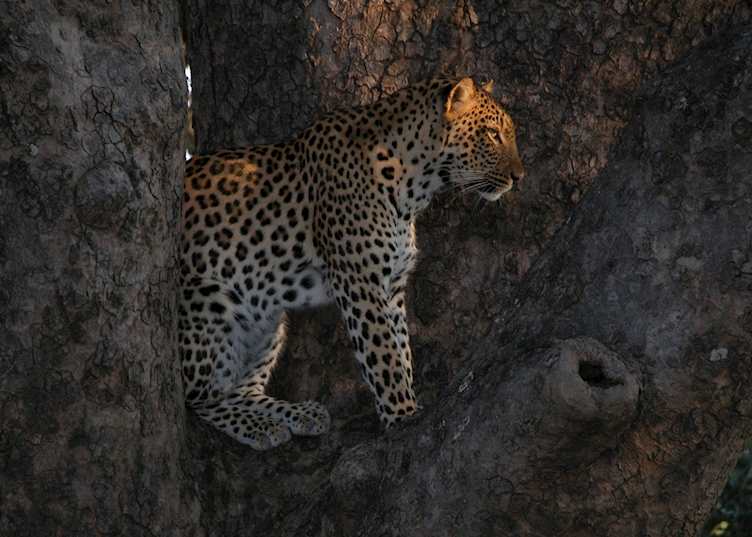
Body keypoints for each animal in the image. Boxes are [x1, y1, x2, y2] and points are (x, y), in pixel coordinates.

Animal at [179, 77, 525, 450]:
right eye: (493, 134)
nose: (519, 176)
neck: (413, 186)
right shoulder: (360, 282)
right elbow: (383, 354)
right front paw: (402, 414)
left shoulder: (392, 286)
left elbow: (401, 348)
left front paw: (409, 403)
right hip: (208, 303)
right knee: (200, 398)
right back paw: (259, 426)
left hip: (269, 322)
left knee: (241, 391)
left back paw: (297, 414)